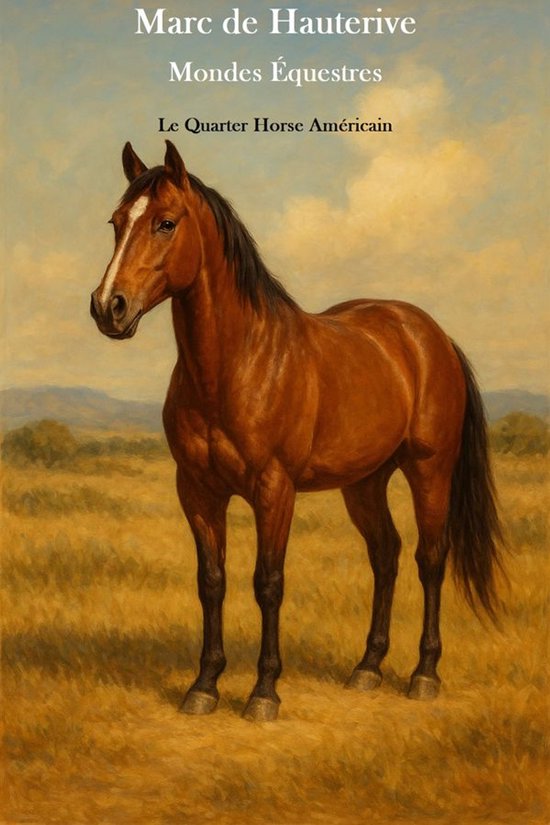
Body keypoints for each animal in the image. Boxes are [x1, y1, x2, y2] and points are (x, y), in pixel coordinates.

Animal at [90, 141, 503, 722]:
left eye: (166, 223)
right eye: (116, 222)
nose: (109, 306)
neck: (238, 364)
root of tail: (430, 335)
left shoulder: (274, 489)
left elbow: (268, 583)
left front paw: (264, 692)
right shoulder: (197, 490)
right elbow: (211, 582)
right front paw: (204, 685)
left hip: (429, 470)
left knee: (429, 559)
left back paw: (424, 674)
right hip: (365, 482)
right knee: (386, 555)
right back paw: (367, 668)